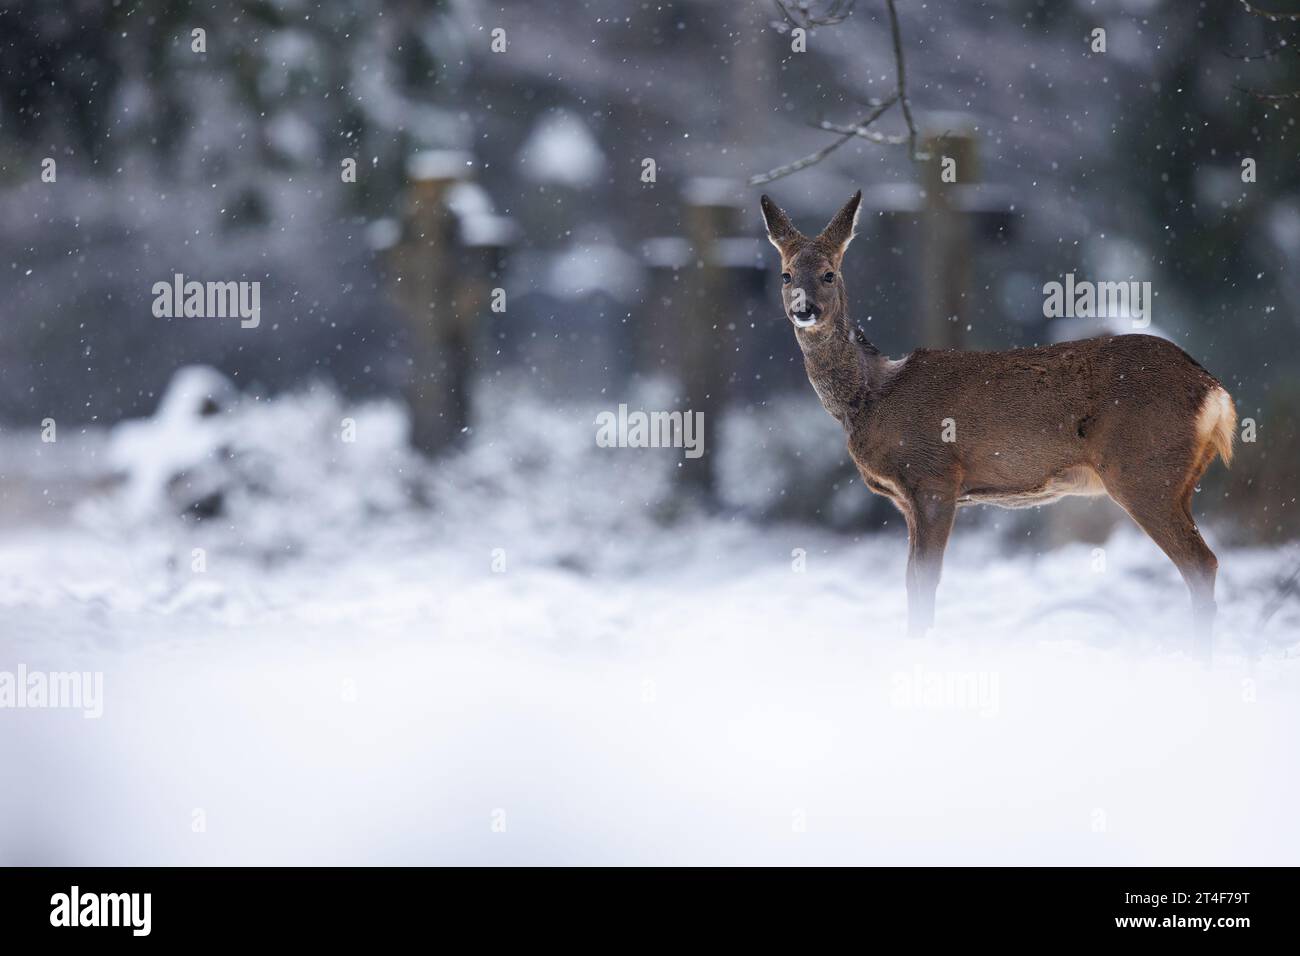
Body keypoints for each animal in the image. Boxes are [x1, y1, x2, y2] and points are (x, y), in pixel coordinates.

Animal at [759, 190, 1236, 650]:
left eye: (829, 274)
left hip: (1144, 471)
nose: (804, 309)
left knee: (1201, 562)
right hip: (1176, 480)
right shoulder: (907, 500)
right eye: (786, 275)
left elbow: (925, 579)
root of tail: (1215, 392)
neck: (871, 398)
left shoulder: (934, 477)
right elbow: (910, 580)